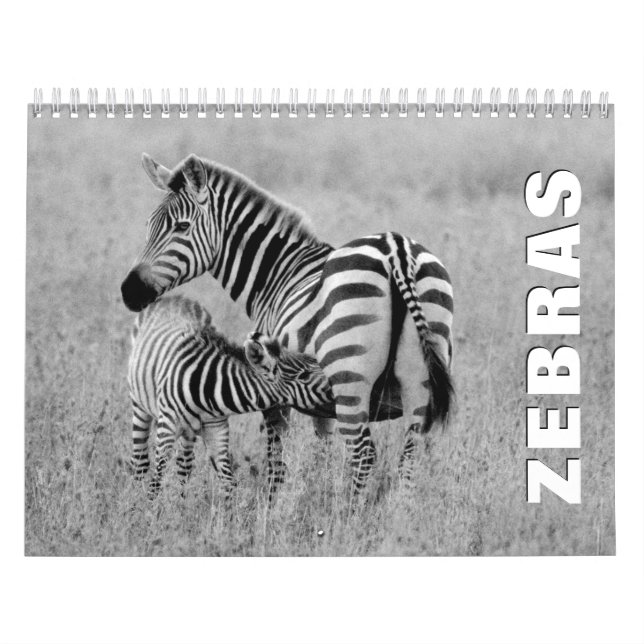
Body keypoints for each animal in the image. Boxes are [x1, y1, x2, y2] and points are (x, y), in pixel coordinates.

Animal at [128, 295, 333, 498]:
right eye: (303, 375)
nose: (335, 389)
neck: (207, 388)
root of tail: (174, 298)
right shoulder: (168, 426)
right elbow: (157, 477)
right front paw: (149, 507)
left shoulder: (216, 428)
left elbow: (228, 482)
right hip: (140, 406)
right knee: (140, 460)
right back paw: (136, 497)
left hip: (188, 431)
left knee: (184, 463)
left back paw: (181, 499)